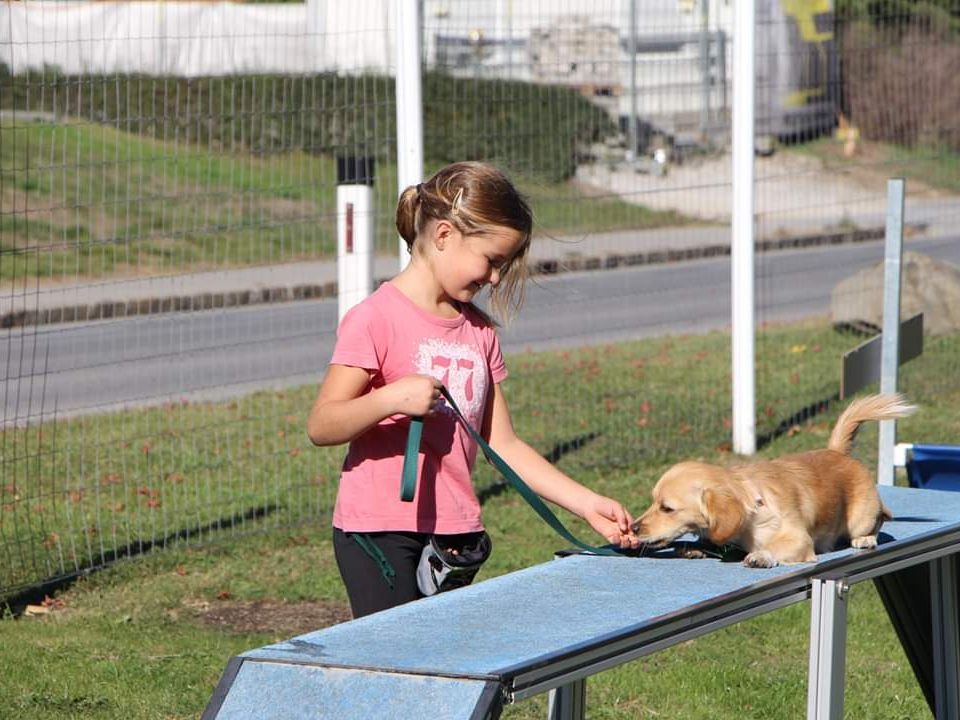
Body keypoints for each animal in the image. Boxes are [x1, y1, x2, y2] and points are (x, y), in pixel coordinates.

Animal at [632, 394, 916, 568]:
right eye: (652, 501)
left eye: (667, 508)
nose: (632, 528)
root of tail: (836, 451)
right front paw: (693, 548)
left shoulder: (799, 540)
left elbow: (774, 548)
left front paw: (760, 556)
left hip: (861, 518)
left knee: (879, 520)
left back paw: (865, 539)